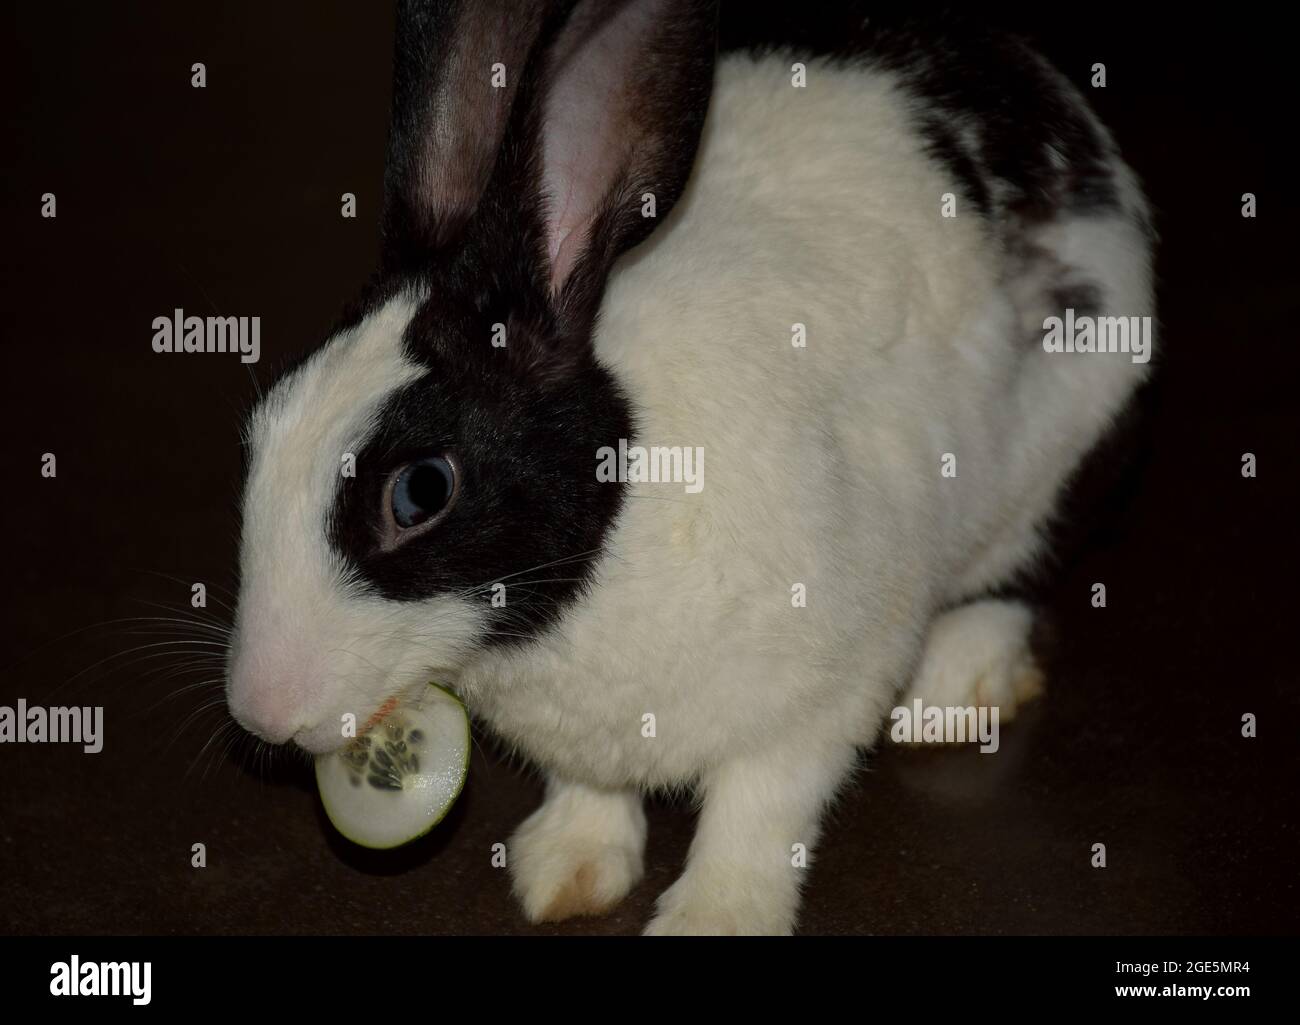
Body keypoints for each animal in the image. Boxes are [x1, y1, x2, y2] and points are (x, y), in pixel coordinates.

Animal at [225, 0, 1155, 935]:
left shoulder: (819, 694)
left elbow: (758, 811)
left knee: (1014, 579)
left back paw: (954, 691)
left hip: (1059, 460)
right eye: (265, 430)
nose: (262, 709)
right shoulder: (589, 743)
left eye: (421, 490)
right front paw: (563, 871)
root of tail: (1053, 99)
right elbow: (590, 791)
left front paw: (714, 916)